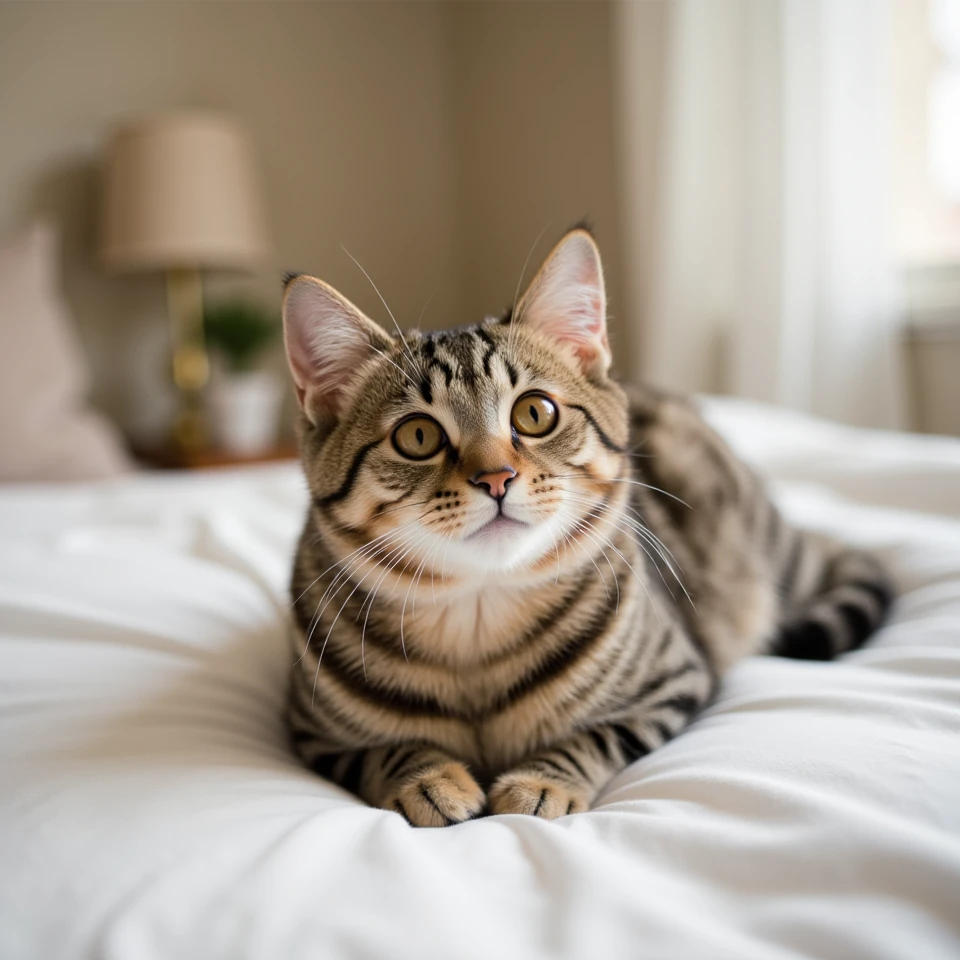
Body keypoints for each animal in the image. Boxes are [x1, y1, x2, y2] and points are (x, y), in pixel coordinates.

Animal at [280, 225, 892, 824]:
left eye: (534, 412)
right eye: (417, 436)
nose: (496, 477)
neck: (478, 620)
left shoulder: (674, 682)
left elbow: (597, 735)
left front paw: (539, 783)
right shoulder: (311, 731)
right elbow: (383, 751)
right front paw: (429, 779)